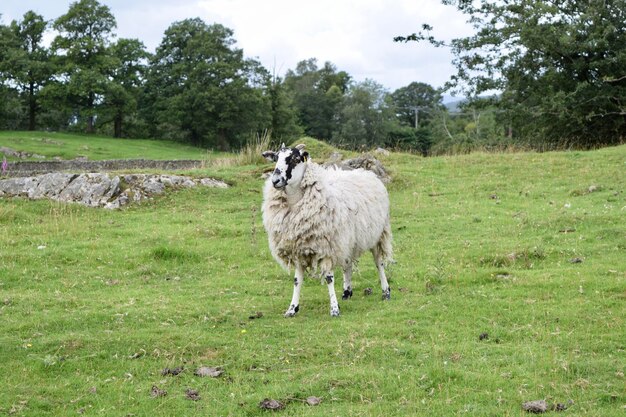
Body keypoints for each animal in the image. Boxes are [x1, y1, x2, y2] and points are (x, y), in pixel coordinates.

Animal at [260, 143, 392, 316]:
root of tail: (366, 173)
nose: (275, 181)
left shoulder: (327, 247)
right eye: (276, 158)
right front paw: (292, 309)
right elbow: (297, 281)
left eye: (295, 159)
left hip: (377, 234)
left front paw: (334, 309)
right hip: (347, 239)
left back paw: (386, 292)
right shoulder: (298, 247)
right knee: (347, 264)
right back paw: (347, 292)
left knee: (379, 263)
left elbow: (329, 278)